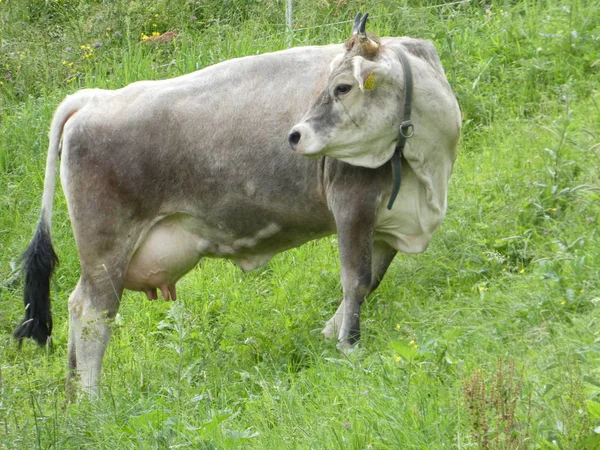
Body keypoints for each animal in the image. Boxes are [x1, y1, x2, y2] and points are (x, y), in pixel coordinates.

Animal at [16, 12, 462, 396]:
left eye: (343, 87)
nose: (294, 135)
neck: (429, 168)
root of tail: (95, 98)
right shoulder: (353, 203)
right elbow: (355, 279)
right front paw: (348, 346)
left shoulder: (390, 220)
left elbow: (370, 281)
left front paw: (328, 334)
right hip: (106, 247)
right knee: (92, 314)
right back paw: (91, 401)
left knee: (78, 310)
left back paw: (73, 395)